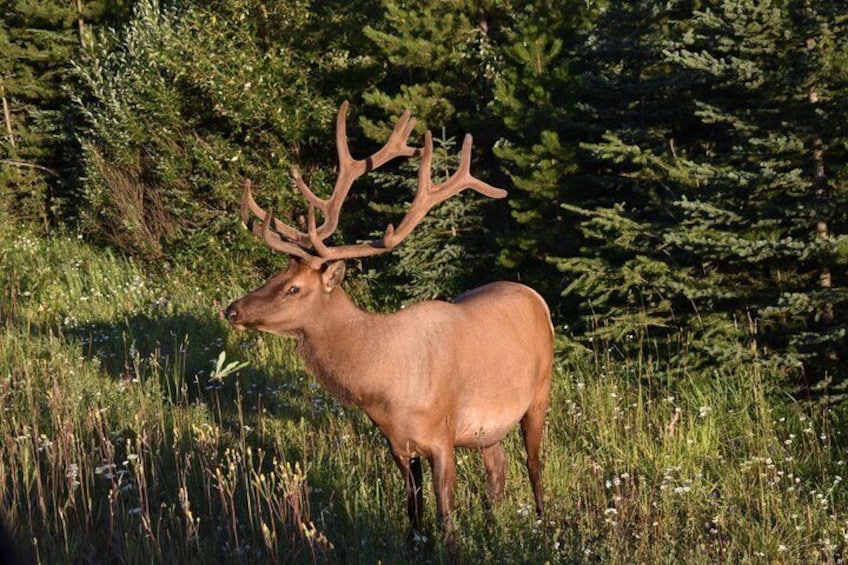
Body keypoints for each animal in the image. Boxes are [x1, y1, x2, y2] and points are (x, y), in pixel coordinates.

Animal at [223, 102, 554, 555]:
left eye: (294, 288)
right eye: (275, 276)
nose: (232, 310)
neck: (383, 387)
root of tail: (535, 295)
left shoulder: (442, 435)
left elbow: (446, 517)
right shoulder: (397, 443)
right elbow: (412, 512)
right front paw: (416, 547)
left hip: (538, 393)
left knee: (535, 467)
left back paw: (542, 529)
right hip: (489, 428)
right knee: (497, 473)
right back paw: (493, 530)